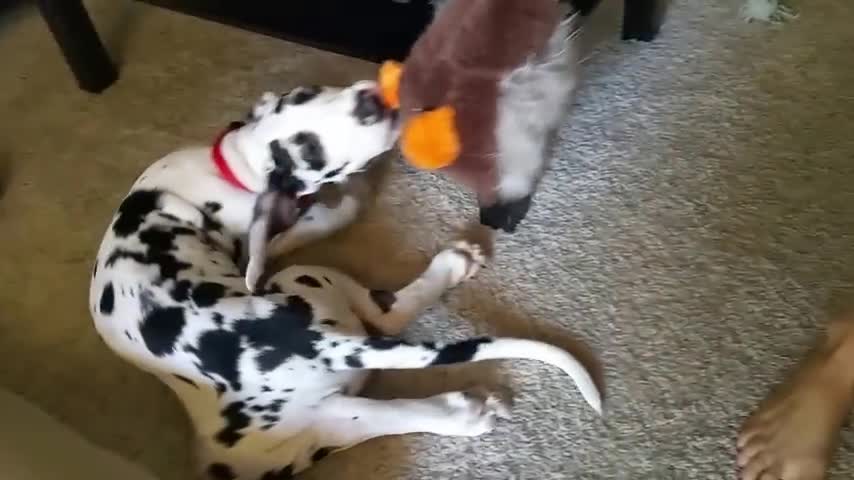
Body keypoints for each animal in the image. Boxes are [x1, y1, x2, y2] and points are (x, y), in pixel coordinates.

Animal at [88, 80, 600, 478]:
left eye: (305, 94)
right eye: (311, 152)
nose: (370, 101)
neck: (232, 166)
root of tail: (312, 342)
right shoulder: (265, 241)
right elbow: (320, 220)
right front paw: (344, 196)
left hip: (312, 430)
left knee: (382, 404)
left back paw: (462, 410)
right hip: (310, 279)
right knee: (386, 315)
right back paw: (453, 275)